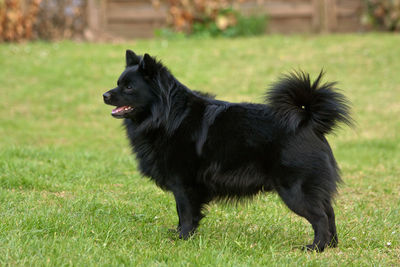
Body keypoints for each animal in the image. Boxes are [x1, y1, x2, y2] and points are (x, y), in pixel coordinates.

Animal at [102, 50, 350, 253]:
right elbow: (184, 214)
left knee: (320, 217)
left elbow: (185, 213)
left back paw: (316, 247)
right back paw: (331, 245)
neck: (168, 116)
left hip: (295, 190)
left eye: (129, 87)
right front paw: (181, 234)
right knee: (329, 212)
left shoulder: (184, 185)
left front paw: (183, 238)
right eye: (118, 82)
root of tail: (308, 121)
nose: (104, 95)